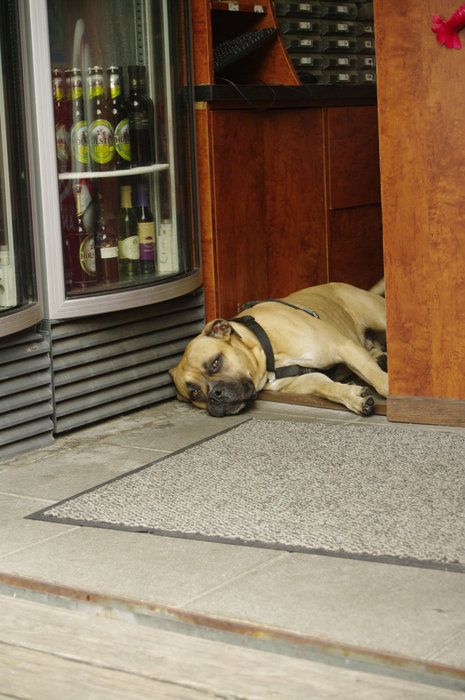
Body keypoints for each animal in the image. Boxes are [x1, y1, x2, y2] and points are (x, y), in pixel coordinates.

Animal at [169, 284, 386, 416]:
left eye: (216, 362)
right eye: (195, 393)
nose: (216, 394)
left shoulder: (342, 347)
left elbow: (377, 379)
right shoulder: (301, 381)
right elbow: (325, 387)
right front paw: (352, 396)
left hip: (379, 318)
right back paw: (380, 358)